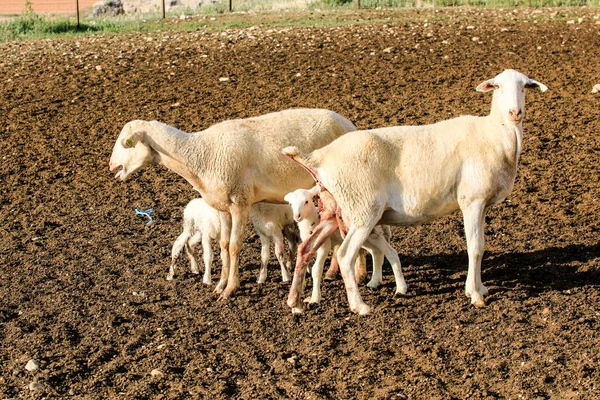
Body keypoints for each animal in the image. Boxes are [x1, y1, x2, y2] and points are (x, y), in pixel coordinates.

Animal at [109, 108, 356, 298]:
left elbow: (236, 246)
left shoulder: (240, 203)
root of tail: (349, 123)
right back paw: (333, 271)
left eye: (125, 143)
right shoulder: (223, 208)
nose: (111, 166)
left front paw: (230, 289)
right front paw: (220, 284)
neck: (200, 155)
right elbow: (224, 246)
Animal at [284, 69, 548, 316]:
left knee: (305, 249)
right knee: (345, 255)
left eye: (525, 86)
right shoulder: (472, 201)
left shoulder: (482, 204)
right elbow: (473, 248)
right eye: (498, 87)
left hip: (332, 210)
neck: (495, 134)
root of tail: (318, 156)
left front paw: (481, 288)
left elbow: (481, 246)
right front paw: (474, 295)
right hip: (362, 209)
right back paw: (359, 306)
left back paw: (296, 302)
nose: (515, 113)